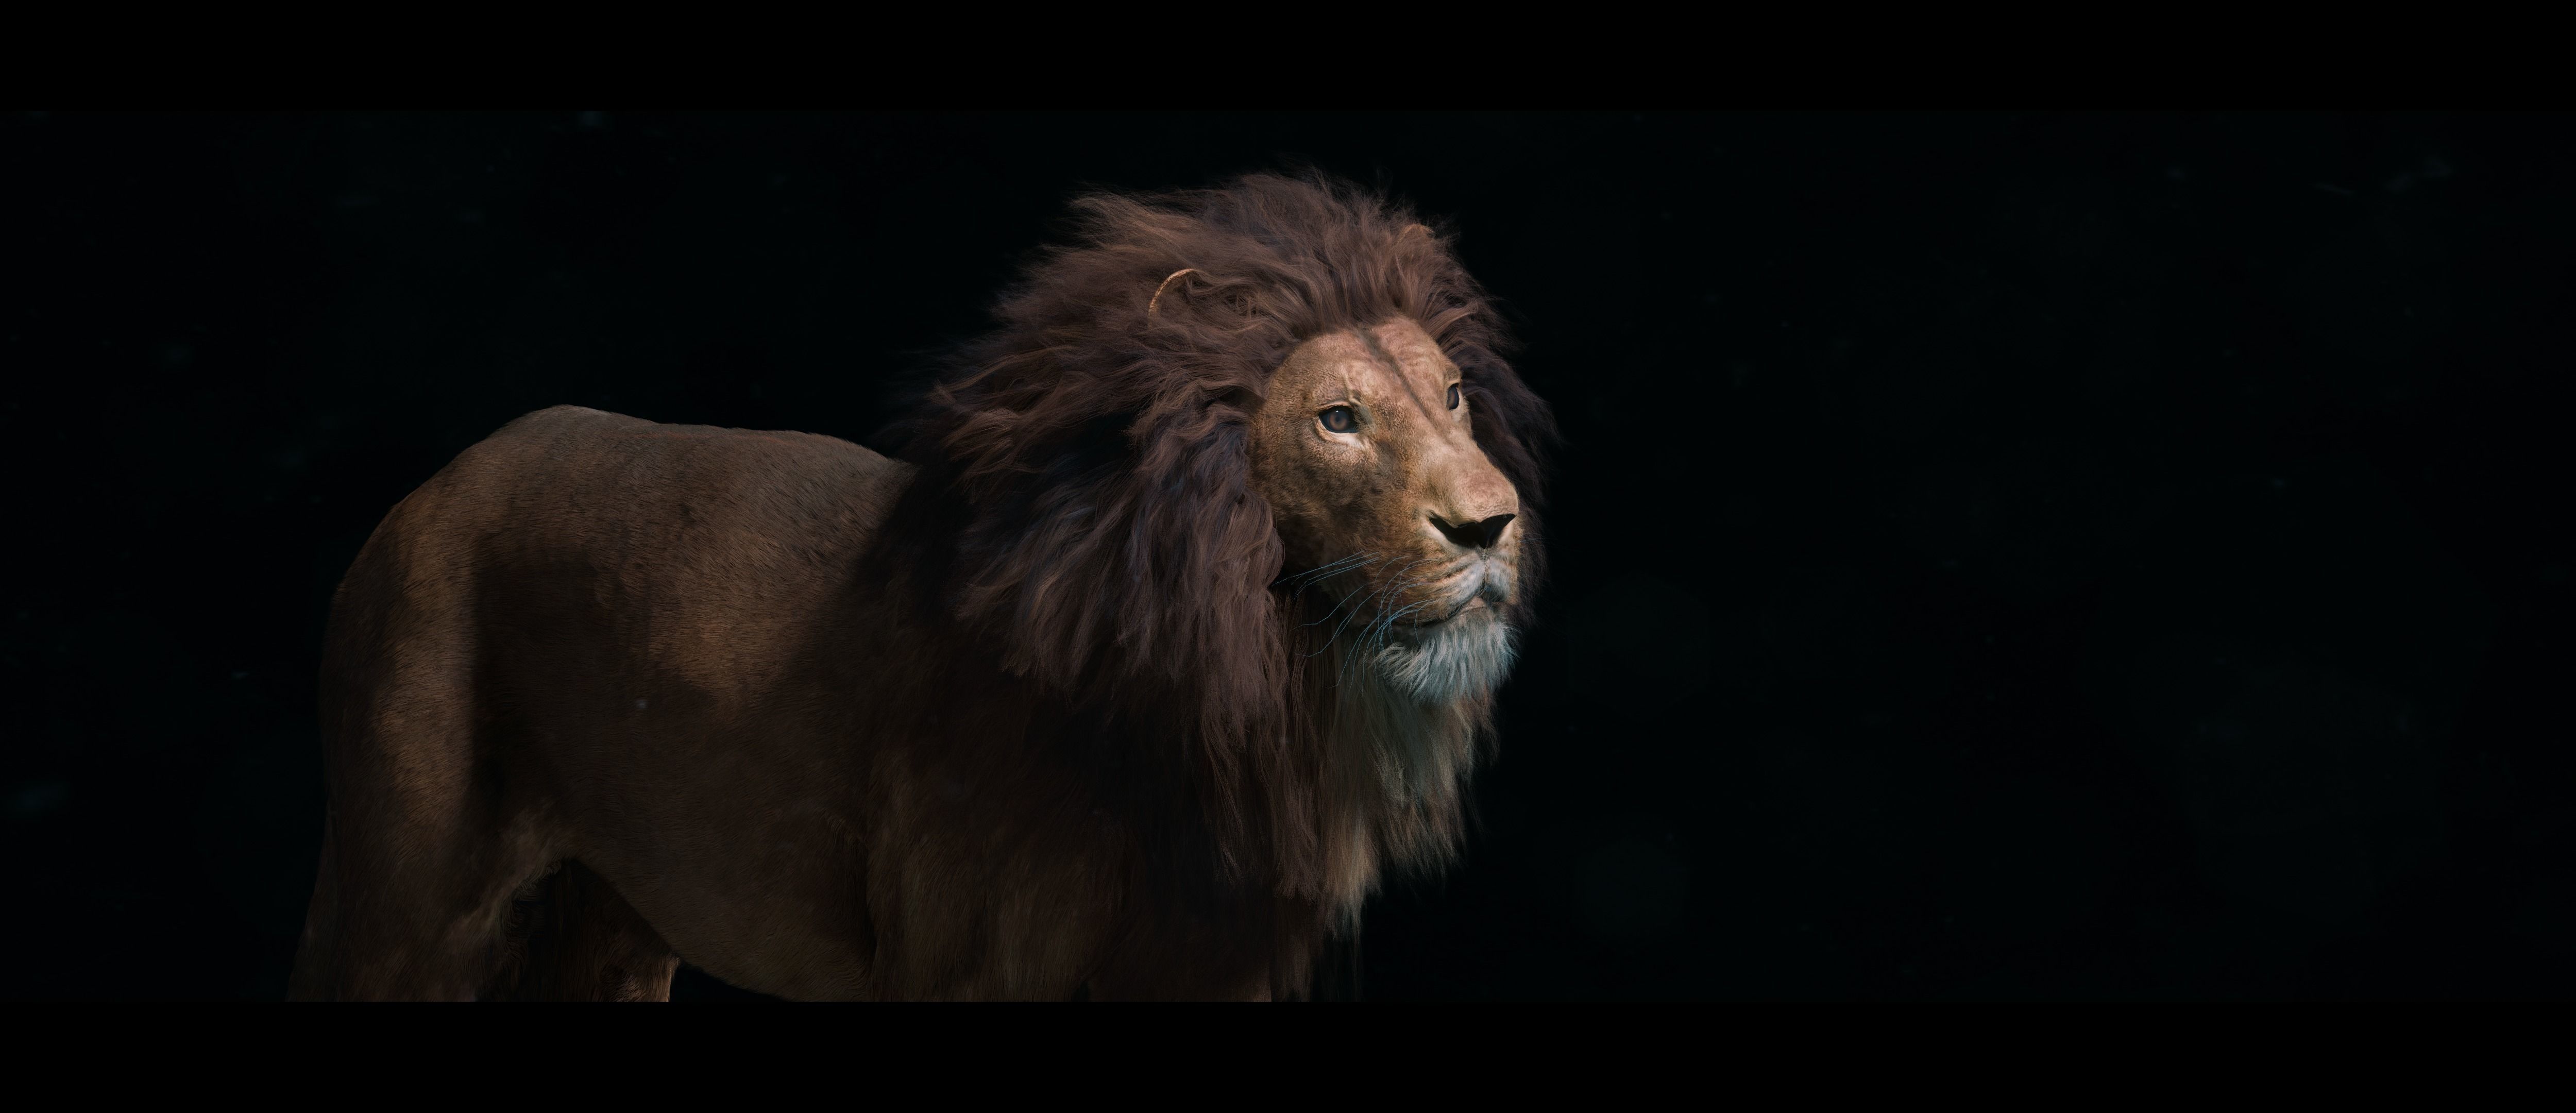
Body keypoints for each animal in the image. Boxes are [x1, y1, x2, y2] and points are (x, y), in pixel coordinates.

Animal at [287, 173, 1555, 1000]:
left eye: (1451, 396)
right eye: (1338, 420)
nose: (1491, 525)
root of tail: (431, 492)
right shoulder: (966, 969)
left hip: (612, 929)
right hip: (410, 907)